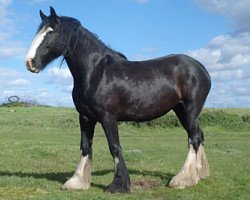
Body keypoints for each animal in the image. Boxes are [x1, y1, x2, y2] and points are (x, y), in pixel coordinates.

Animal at [24, 7, 211, 193]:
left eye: (51, 32)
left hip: (189, 110)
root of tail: (201, 68)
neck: (96, 71)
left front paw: (119, 184)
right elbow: (85, 146)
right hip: (180, 110)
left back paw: (183, 179)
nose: (30, 62)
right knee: (198, 135)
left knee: (193, 138)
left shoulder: (108, 117)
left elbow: (114, 147)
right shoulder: (85, 117)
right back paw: (200, 173)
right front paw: (77, 182)